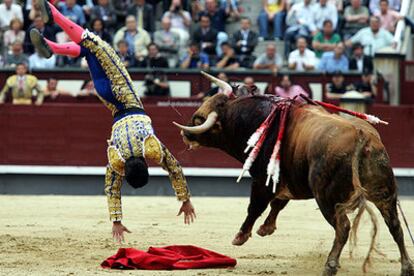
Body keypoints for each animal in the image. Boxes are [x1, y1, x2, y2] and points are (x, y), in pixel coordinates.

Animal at [174, 73, 414, 276]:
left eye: (200, 120)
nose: (185, 133)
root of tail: (362, 135)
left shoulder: (262, 180)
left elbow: (255, 206)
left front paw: (240, 236)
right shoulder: (288, 181)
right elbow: (278, 203)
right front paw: (266, 228)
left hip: (326, 197)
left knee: (343, 227)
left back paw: (330, 265)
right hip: (384, 193)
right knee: (395, 225)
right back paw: (406, 267)